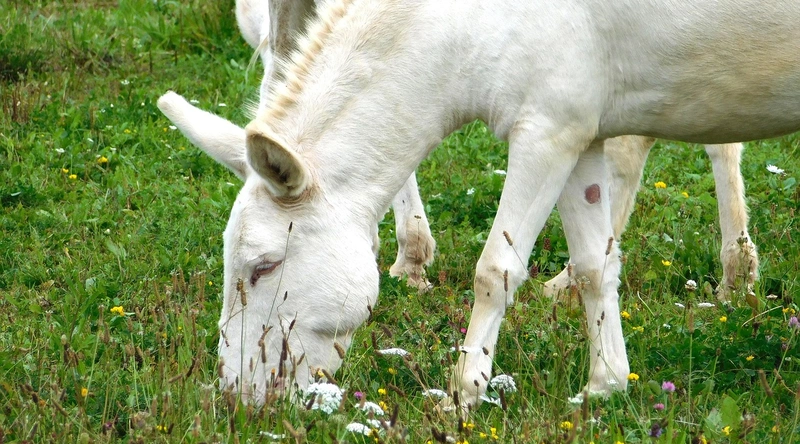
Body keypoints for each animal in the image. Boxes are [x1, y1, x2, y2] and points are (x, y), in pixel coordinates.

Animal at [160, 0, 798, 406]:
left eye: (263, 267)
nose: (237, 399)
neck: (470, 26)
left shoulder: (545, 135)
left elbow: (496, 270)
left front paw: (464, 393)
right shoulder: (580, 137)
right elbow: (595, 267)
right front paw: (604, 388)